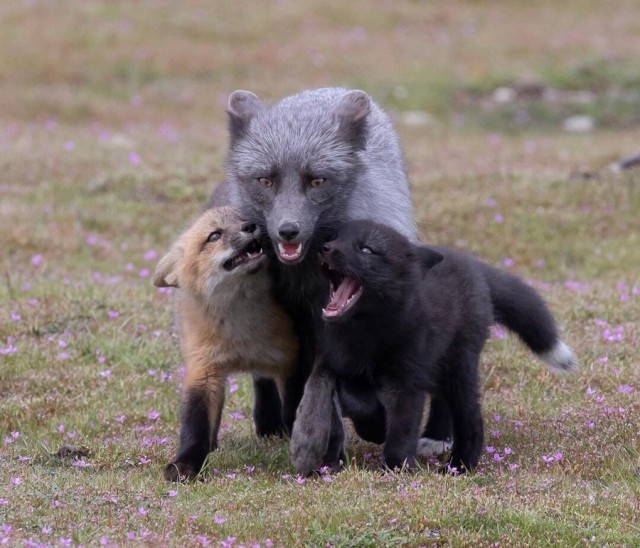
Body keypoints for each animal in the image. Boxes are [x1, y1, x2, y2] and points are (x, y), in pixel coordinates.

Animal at [210, 88, 420, 460]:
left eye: (318, 180)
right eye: (265, 180)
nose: (287, 231)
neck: (303, 280)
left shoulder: (331, 319)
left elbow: (322, 381)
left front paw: (313, 438)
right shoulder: (290, 324)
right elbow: (292, 382)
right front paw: (304, 432)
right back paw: (271, 424)